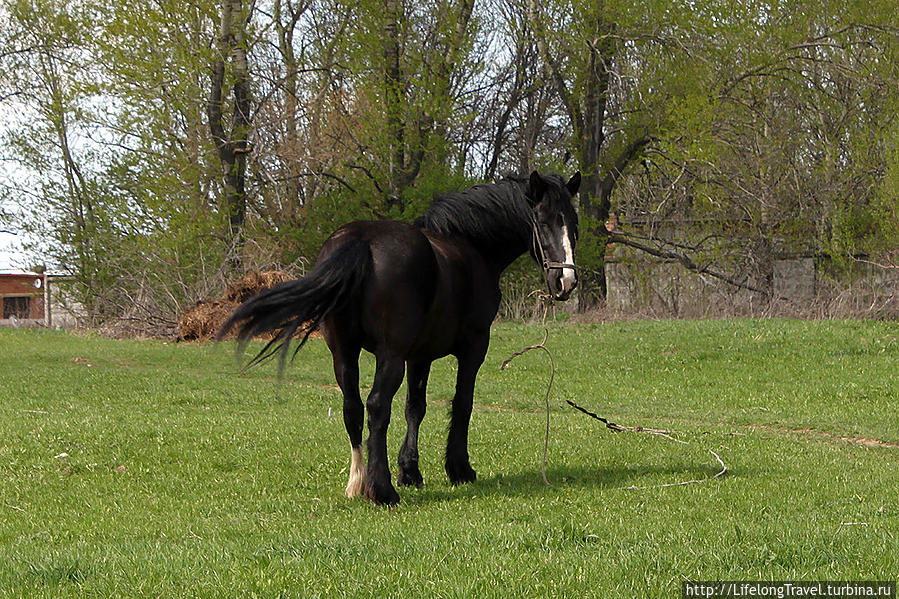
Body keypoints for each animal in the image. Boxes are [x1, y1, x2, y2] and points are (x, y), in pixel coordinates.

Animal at [221, 170, 580, 506]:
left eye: (573, 224)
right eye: (543, 222)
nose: (566, 282)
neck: (471, 247)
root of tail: (360, 240)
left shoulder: (419, 355)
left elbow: (415, 407)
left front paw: (410, 471)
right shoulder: (473, 346)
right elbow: (461, 402)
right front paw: (458, 469)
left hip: (343, 353)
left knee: (352, 409)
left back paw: (358, 483)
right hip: (389, 355)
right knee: (377, 406)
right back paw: (381, 490)